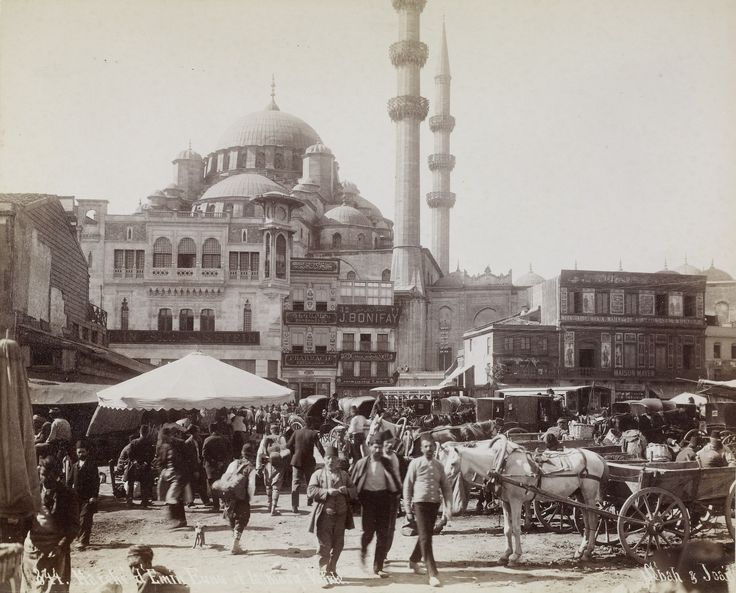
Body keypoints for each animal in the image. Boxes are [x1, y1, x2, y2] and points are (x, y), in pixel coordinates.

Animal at [440, 434, 608, 564]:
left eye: (453, 463)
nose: (443, 480)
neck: (502, 465)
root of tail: (597, 456)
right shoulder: (506, 502)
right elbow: (507, 529)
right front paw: (505, 555)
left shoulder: (516, 501)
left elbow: (516, 528)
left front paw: (515, 556)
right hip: (580, 496)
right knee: (586, 520)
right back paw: (581, 551)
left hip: (589, 495)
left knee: (593, 520)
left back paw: (588, 552)